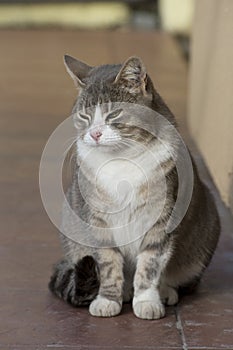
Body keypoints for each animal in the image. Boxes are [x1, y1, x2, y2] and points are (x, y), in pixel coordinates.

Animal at [49, 54, 220, 320]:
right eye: (84, 116)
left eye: (113, 114)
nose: (95, 134)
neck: (121, 160)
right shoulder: (98, 221)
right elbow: (108, 264)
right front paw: (108, 300)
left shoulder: (162, 218)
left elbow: (150, 264)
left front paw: (147, 301)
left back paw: (165, 291)